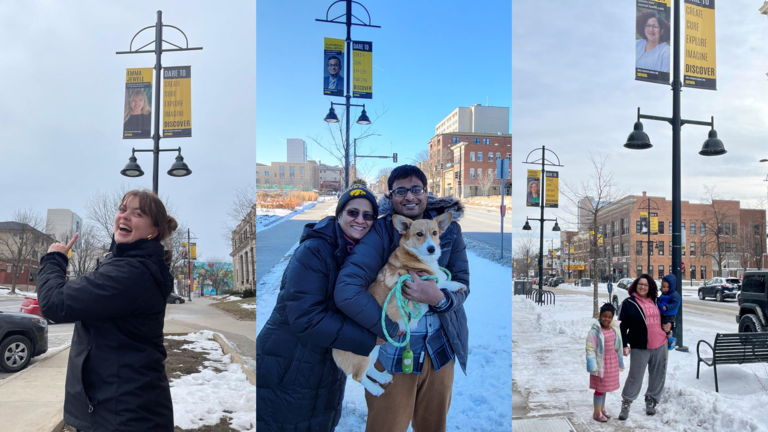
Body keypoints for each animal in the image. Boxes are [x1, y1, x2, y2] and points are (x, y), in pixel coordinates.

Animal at [332, 212, 464, 394]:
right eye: (419, 234)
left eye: (435, 233)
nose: (432, 249)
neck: (417, 258)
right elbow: (439, 284)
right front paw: (456, 284)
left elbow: (441, 281)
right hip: (365, 353)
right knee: (358, 377)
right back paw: (375, 389)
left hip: (374, 349)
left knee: (369, 370)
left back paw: (382, 378)